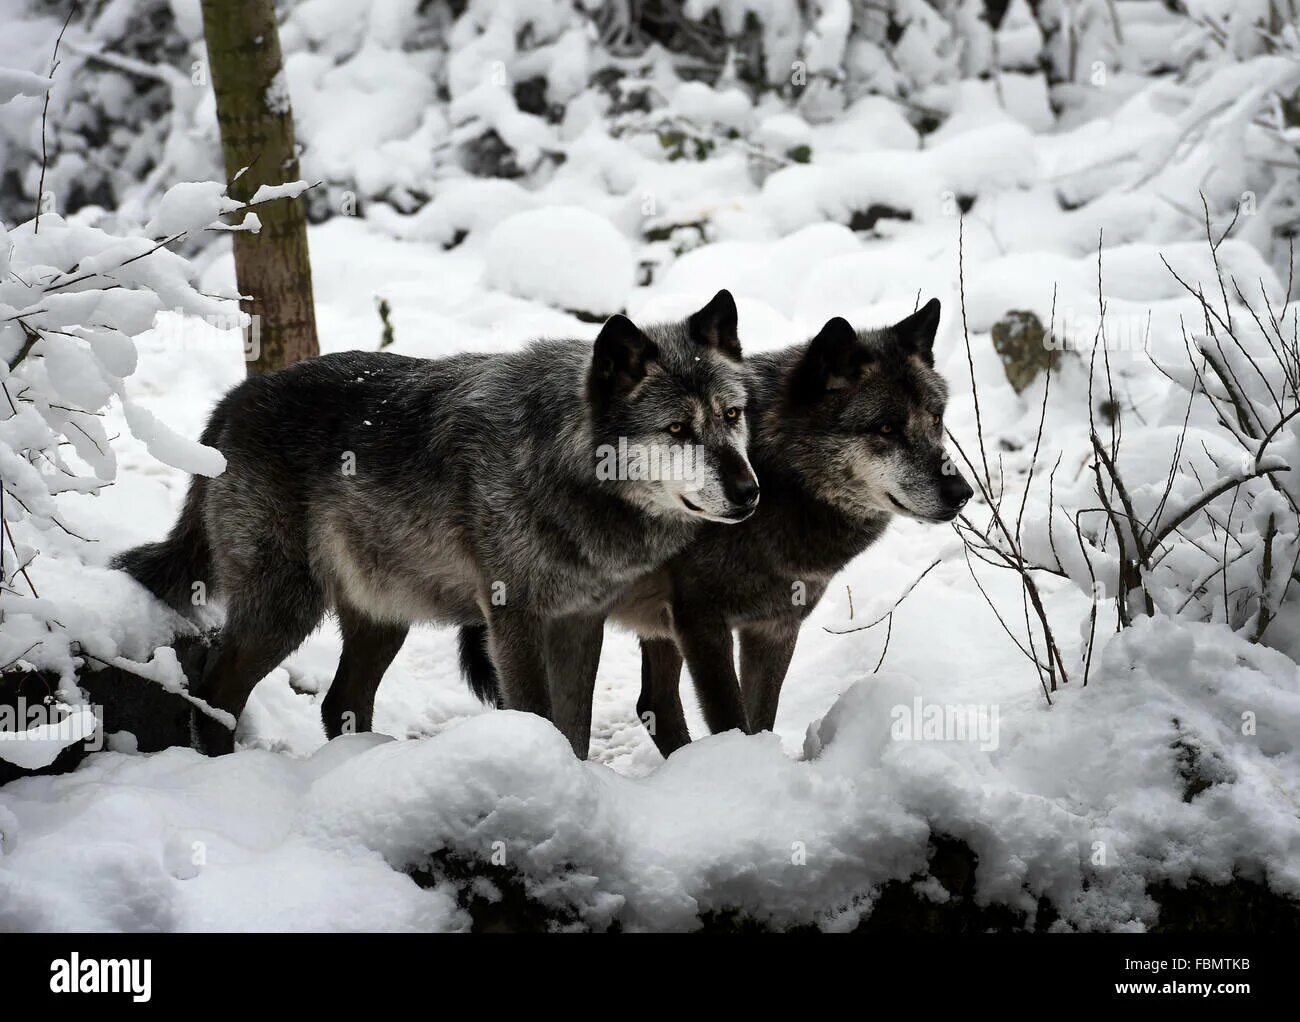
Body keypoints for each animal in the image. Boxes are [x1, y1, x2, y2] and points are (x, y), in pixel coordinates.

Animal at [118, 291, 759, 754]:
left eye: (732, 416)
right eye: (676, 429)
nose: (751, 492)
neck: (558, 462)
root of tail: (230, 402)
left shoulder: (580, 621)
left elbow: (574, 729)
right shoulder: (513, 619)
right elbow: (539, 714)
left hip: (382, 615)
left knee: (339, 702)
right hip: (287, 607)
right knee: (215, 692)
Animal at [452, 295, 972, 748]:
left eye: (937, 419)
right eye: (886, 427)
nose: (963, 494)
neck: (777, 483)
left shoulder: (774, 629)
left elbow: (761, 719)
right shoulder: (701, 621)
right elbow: (731, 719)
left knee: (653, 702)